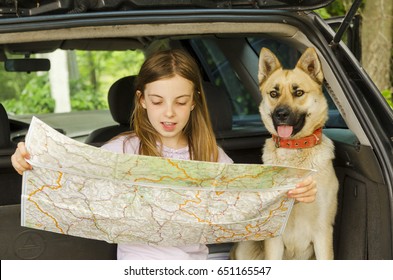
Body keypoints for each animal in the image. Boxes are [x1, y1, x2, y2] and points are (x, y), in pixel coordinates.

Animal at [231, 47, 338, 260]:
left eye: (299, 92)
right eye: (274, 93)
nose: (281, 114)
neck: (293, 149)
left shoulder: (323, 232)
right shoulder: (273, 237)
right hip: (245, 247)